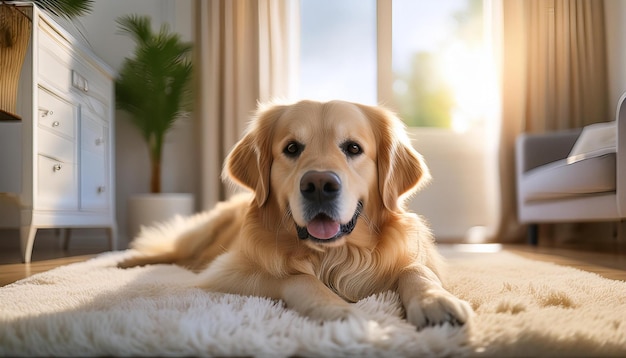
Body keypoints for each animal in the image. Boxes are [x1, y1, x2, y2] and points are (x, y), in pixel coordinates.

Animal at [117, 99, 470, 328]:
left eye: (353, 148)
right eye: (291, 148)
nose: (319, 185)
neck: (332, 256)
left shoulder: (415, 259)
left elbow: (416, 270)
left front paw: (434, 300)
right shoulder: (228, 273)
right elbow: (297, 278)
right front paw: (336, 309)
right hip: (202, 233)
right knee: (171, 250)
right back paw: (128, 261)